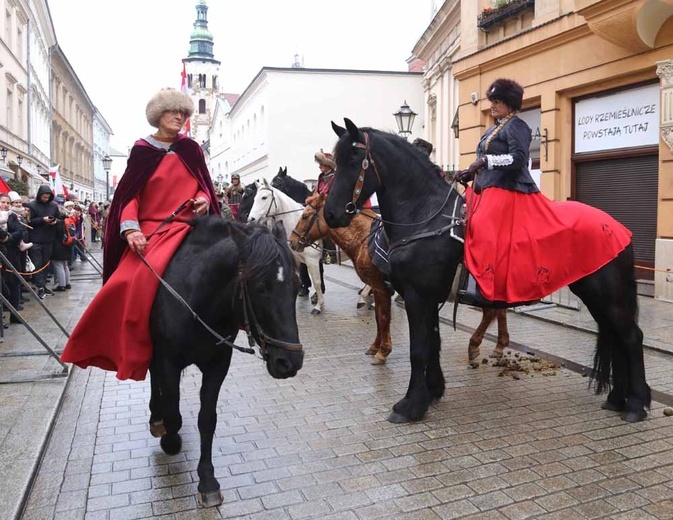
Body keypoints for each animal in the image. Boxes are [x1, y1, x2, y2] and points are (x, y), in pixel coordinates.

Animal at [150, 216, 304, 508]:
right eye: (260, 288)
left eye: (297, 286)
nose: (290, 362)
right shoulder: (168, 362)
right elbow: (173, 413)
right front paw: (170, 441)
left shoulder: (218, 365)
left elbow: (207, 419)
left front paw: (208, 481)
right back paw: (156, 416)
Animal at [247, 179, 326, 314]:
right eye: (254, 198)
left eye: (264, 197)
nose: (251, 219)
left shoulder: (312, 261)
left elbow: (317, 282)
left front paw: (318, 306)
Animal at [322, 120, 648, 424]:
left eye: (354, 160)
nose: (331, 214)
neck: (426, 218)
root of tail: (618, 228)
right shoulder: (429, 298)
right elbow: (433, 343)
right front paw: (432, 391)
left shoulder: (417, 297)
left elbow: (419, 350)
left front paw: (410, 405)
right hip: (595, 295)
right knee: (616, 336)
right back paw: (617, 399)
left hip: (608, 294)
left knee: (631, 337)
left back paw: (636, 404)